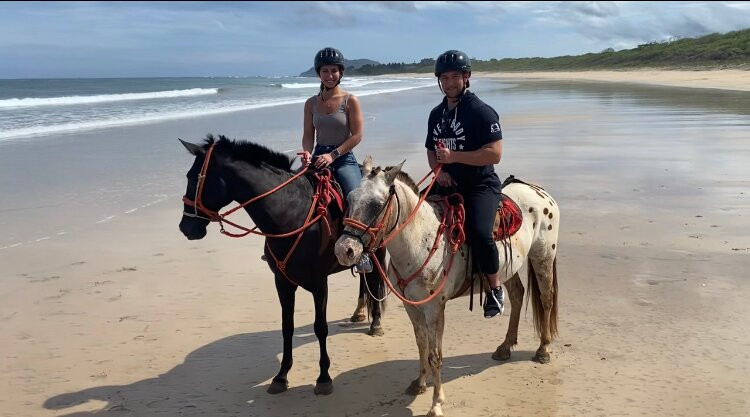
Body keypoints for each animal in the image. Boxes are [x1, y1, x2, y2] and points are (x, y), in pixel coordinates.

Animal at [178, 134, 384, 394]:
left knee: (377, 281)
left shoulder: (320, 284)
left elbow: (320, 327)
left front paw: (323, 377)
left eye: (192, 177)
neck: (291, 214)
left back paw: (376, 322)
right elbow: (287, 327)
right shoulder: (282, 282)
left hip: (380, 250)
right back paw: (358, 313)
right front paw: (281, 375)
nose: (186, 228)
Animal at [334, 156, 560, 416]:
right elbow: (421, 344)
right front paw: (420, 383)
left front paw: (436, 403)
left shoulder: (434, 308)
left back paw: (543, 350)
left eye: (376, 204)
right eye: (350, 198)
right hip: (507, 267)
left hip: (542, 257)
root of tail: (538, 191)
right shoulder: (412, 307)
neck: (420, 238)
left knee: (546, 299)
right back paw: (505, 347)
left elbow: (435, 355)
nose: (344, 250)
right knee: (516, 295)